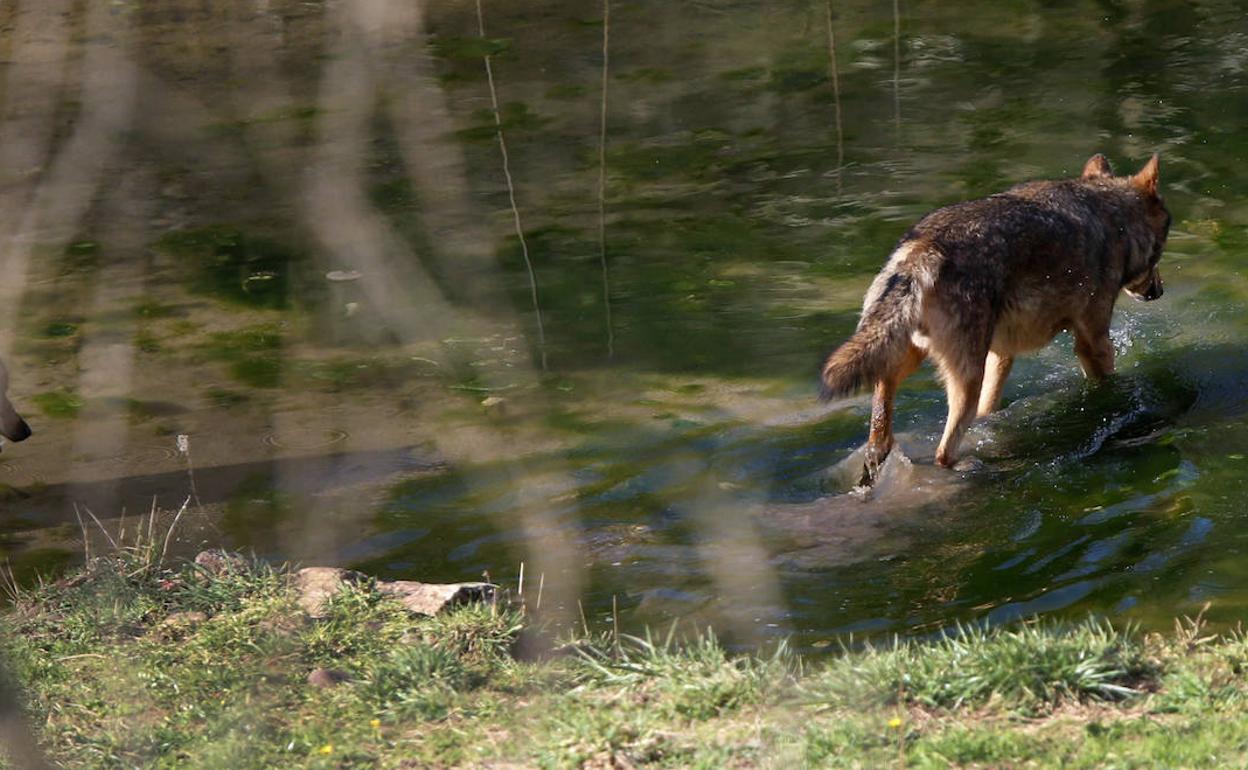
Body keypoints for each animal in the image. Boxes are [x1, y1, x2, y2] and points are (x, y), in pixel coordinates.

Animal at [820, 154, 1169, 486]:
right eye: (1161, 250)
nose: (1160, 291)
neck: (1110, 217)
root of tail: (920, 250)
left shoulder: (1002, 354)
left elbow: (990, 408)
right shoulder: (1094, 343)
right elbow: (1109, 382)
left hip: (910, 359)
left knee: (881, 424)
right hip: (964, 380)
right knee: (942, 452)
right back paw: (971, 468)